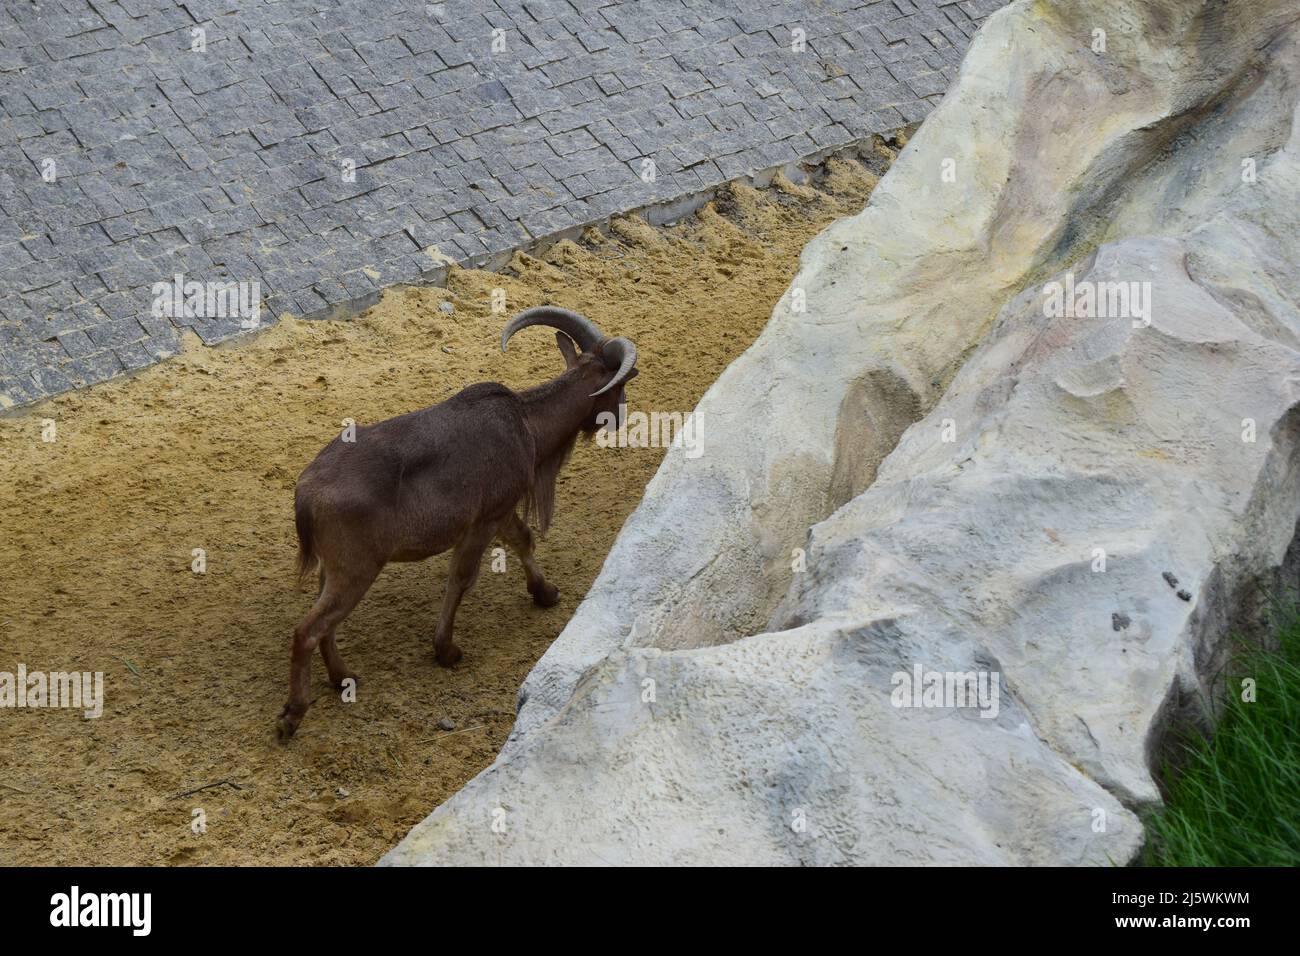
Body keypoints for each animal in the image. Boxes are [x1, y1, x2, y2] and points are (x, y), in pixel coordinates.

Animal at [276, 307, 638, 740]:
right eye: (621, 383)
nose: (620, 417)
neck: (526, 422)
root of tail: (306, 494)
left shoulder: (501, 512)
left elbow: (523, 540)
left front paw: (545, 593)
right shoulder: (483, 522)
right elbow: (463, 577)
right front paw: (447, 650)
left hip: (333, 570)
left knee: (324, 624)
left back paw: (343, 677)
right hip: (356, 570)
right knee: (307, 630)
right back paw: (293, 715)